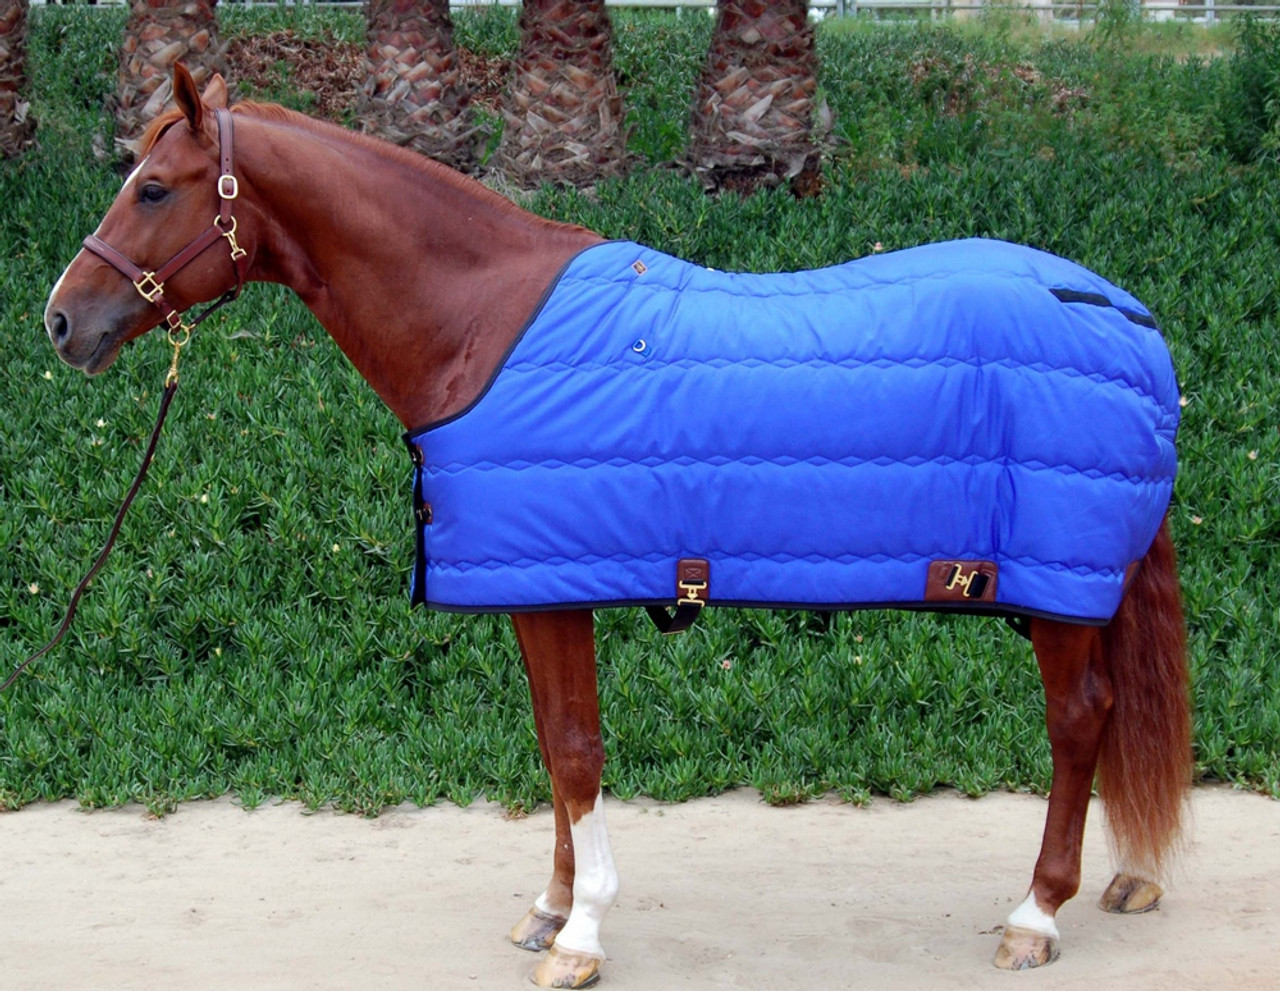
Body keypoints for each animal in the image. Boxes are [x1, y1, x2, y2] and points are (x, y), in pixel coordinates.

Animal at [43, 64, 1191, 989]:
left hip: (1056, 593)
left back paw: (1036, 913)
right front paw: (549, 906)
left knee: (1079, 721)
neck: (482, 324)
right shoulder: (538, 584)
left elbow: (576, 749)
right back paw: (1127, 877)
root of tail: (1126, 315)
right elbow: (553, 747)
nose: (61, 320)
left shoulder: (556, 587)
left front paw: (582, 933)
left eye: (154, 187)